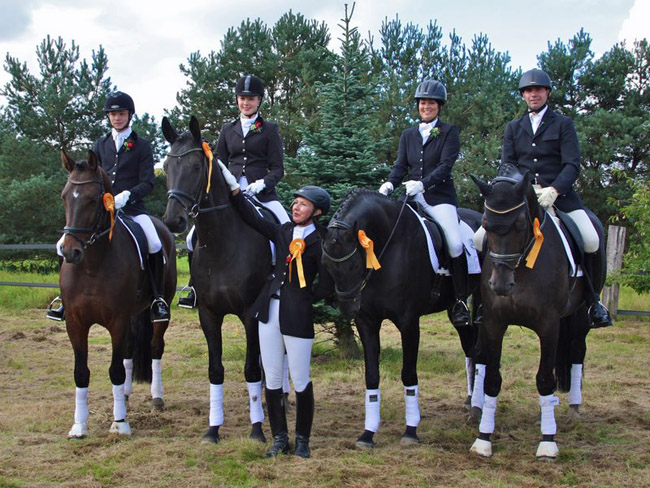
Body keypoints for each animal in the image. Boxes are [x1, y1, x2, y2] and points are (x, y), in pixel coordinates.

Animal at [58, 151, 173, 436]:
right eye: (64, 196)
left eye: (92, 199)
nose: (70, 251)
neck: (91, 266)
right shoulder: (75, 323)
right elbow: (81, 372)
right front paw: (79, 425)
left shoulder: (117, 320)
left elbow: (115, 371)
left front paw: (119, 423)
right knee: (130, 350)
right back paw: (126, 397)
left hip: (158, 311)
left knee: (155, 347)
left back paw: (156, 398)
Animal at [161, 116, 270, 444]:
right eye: (166, 168)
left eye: (197, 167)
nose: (173, 221)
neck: (223, 244)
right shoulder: (208, 315)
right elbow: (215, 370)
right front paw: (213, 429)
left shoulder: (250, 315)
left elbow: (250, 369)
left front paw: (257, 430)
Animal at [320, 189, 480, 448]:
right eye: (326, 263)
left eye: (354, 263)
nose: (348, 308)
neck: (390, 244)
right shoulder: (367, 322)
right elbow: (371, 375)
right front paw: (367, 433)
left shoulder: (409, 322)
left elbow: (408, 374)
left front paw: (410, 431)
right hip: (453, 308)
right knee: (469, 344)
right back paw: (470, 400)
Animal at [466, 170, 604, 460]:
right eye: (486, 223)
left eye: (520, 224)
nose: (500, 285)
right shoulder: (494, 323)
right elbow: (492, 380)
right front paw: (483, 439)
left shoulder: (548, 326)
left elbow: (544, 379)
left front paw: (548, 442)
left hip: (581, 316)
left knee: (577, 352)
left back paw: (573, 409)